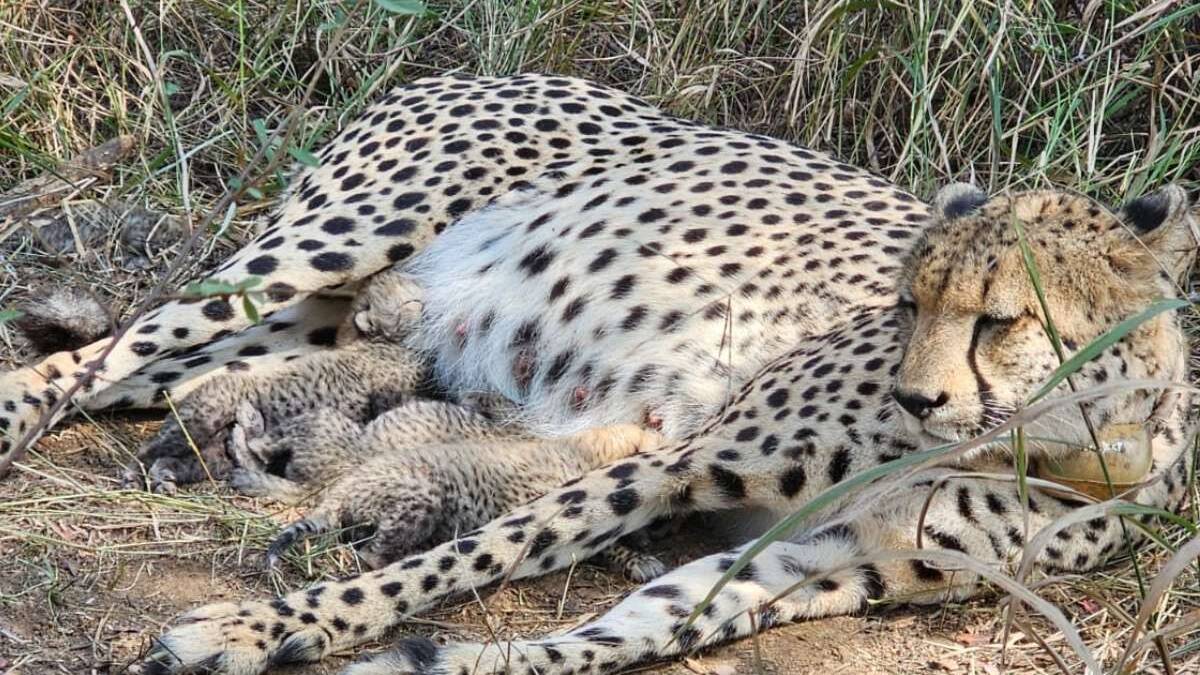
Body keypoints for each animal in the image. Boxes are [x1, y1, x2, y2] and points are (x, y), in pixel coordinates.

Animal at [227, 399, 666, 581]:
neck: (582, 448)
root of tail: (340, 486)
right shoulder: (556, 513)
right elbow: (607, 541)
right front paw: (640, 558)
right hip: (416, 493)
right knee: (371, 553)